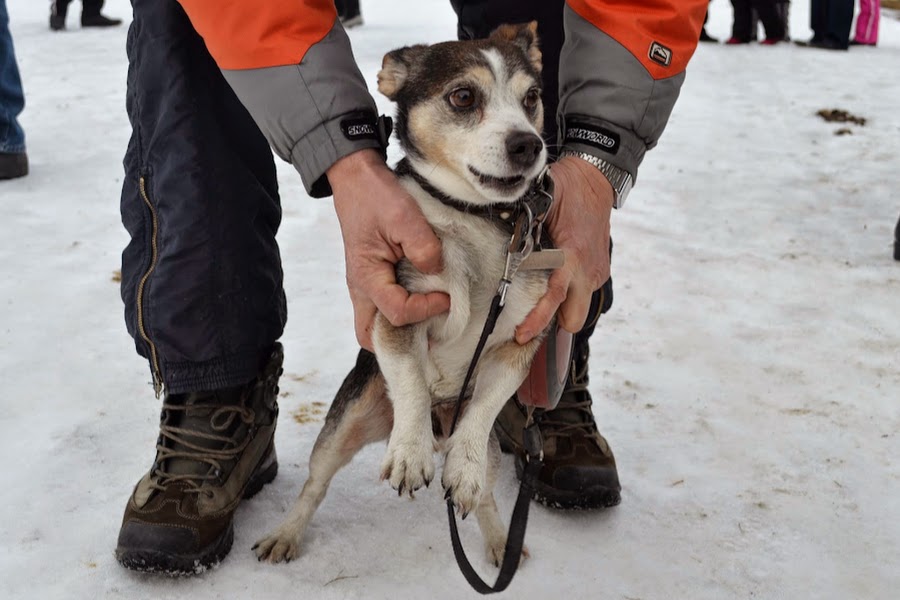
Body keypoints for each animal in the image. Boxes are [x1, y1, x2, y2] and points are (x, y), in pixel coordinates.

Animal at [251, 22, 548, 568]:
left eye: (532, 97)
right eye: (463, 96)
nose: (528, 144)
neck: (474, 220)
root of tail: (440, 427)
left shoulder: (519, 342)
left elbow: (486, 407)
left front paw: (462, 468)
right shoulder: (399, 307)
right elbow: (410, 375)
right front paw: (409, 453)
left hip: (485, 454)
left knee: (485, 492)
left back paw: (498, 537)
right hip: (346, 422)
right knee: (315, 484)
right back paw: (287, 533)